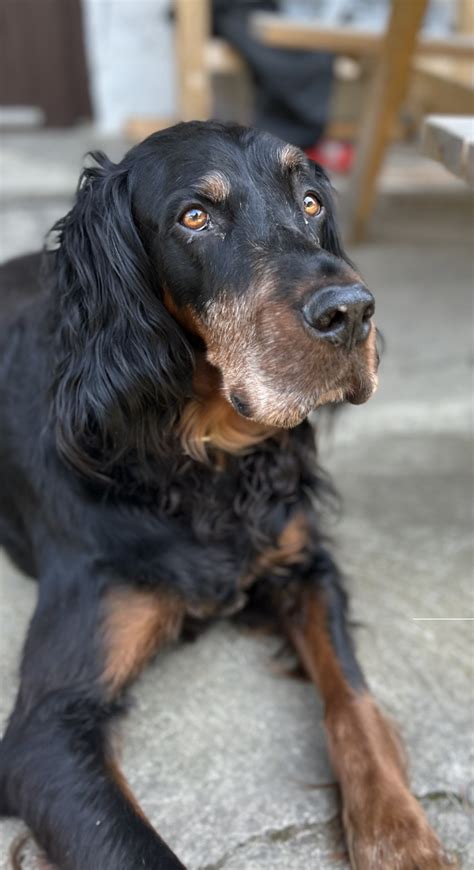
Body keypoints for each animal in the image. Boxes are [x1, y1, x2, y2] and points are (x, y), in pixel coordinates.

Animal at [0, 122, 450, 870]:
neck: (200, 461)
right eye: (194, 217)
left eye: (309, 202)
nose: (352, 312)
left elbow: (353, 703)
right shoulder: (48, 728)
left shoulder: (305, 565)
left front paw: (401, 835)